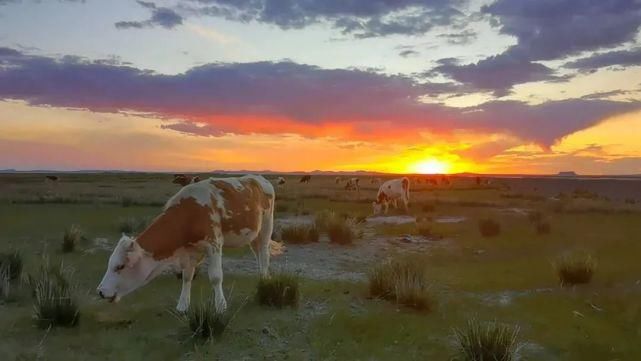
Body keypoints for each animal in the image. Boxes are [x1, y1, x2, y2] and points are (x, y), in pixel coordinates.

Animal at [97, 174, 280, 312]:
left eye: (120, 266)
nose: (101, 291)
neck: (190, 213)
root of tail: (259, 178)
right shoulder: (189, 251)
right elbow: (186, 276)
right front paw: (183, 305)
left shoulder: (214, 244)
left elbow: (216, 276)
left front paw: (220, 305)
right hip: (253, 235)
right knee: (258, 254)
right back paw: (262, 277)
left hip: (266, 226)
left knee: (264, 253)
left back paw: (264, 280)